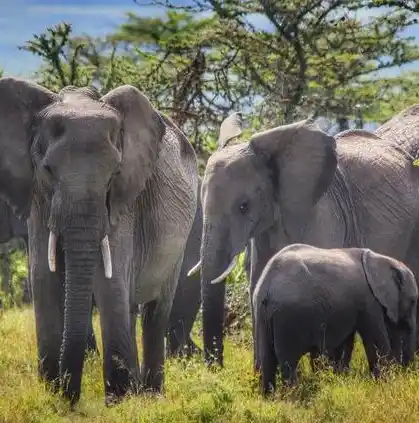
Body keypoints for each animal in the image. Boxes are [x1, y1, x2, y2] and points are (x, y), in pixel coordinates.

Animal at [0, 78, 199, 406]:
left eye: (114, 173)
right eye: (47, 170)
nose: (70, 396)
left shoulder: (123, 202)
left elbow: (111, 281)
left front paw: (118, 400)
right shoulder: (38, 201)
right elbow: (43, 278)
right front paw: (51, 392)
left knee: (155, 310)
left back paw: (150, 396)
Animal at [253, 243, 419, 396]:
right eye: (413, 301)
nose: (405, 374)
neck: (380, 259)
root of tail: (267, 284)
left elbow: (345, 342)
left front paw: (340, 378)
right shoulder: (368, 301)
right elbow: (375, 341)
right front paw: (385, 383)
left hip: (262, 314)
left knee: (267, 360)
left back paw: (270, 398)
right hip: (288, 317)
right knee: (288, 364)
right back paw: (293, 399)